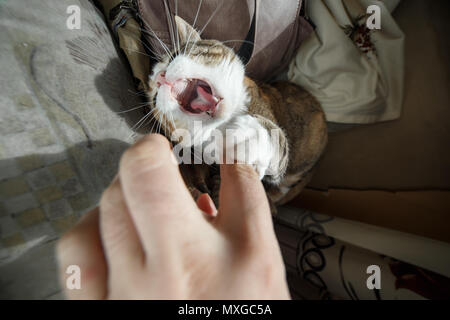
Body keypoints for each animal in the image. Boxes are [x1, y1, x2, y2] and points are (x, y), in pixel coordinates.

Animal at [148, 16, 326, 209]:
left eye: (175, 55)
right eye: (154, 98)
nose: (160, 78)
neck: (225, 121)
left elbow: (277, 140)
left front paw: (250, 137)